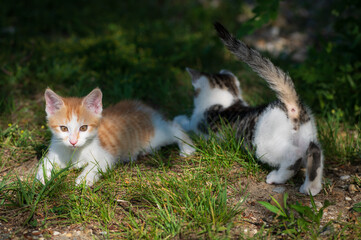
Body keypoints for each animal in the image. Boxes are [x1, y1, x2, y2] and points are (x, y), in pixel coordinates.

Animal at [36, 88, 194, 186]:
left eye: (83, 128)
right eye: (63, 128)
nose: (73, 141)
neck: (74, 152)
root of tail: (141, 106)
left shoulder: (106, 155)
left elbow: (95, 166)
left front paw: (84, 179)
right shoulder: (55, 152)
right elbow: (44, 163)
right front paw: (43, 176)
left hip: (155, 135)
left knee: (174, 127)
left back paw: (188, 147)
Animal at [173, 23, 322, 195]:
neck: (226, 101)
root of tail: (290, 105)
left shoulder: (197, 128)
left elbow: (179, 122)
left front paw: (182, 135)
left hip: (264, 145)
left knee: (294, 155)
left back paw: (277, 177)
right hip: (306, 135)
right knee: (315, 151)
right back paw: (311, 187)